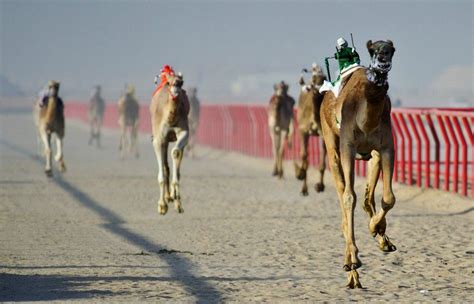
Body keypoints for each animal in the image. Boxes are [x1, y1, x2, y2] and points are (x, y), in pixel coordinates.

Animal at [151, 70, 190, 215]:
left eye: (182, 82)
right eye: (169, 82)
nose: (176, 86)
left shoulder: (184, 132)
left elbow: (176, 152)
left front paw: (175, 197)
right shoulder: (158, 139)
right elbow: (161, 175)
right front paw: (162, 206)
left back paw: (175, 200)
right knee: (165, 166)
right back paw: (168, 198)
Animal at [294, 64, 328, 195]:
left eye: (324, 78)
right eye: (313, 79)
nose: (318, 89)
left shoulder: (323, 133)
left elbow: (323, 160)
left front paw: (320, 186)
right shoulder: (303, 130)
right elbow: (304, 155)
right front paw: (301, 177)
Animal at [318, 39, 396, 288]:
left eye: (392, 49)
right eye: (373, 50)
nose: (383, 59)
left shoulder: (386, 147)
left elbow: (388, 198)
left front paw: (377, 231)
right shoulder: (347, 147)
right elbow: (348, 197)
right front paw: (352, 260)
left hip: (370, 155)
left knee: (367, 197)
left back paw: (381, 238)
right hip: (331, 143)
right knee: (344, 195)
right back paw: (351, 268)